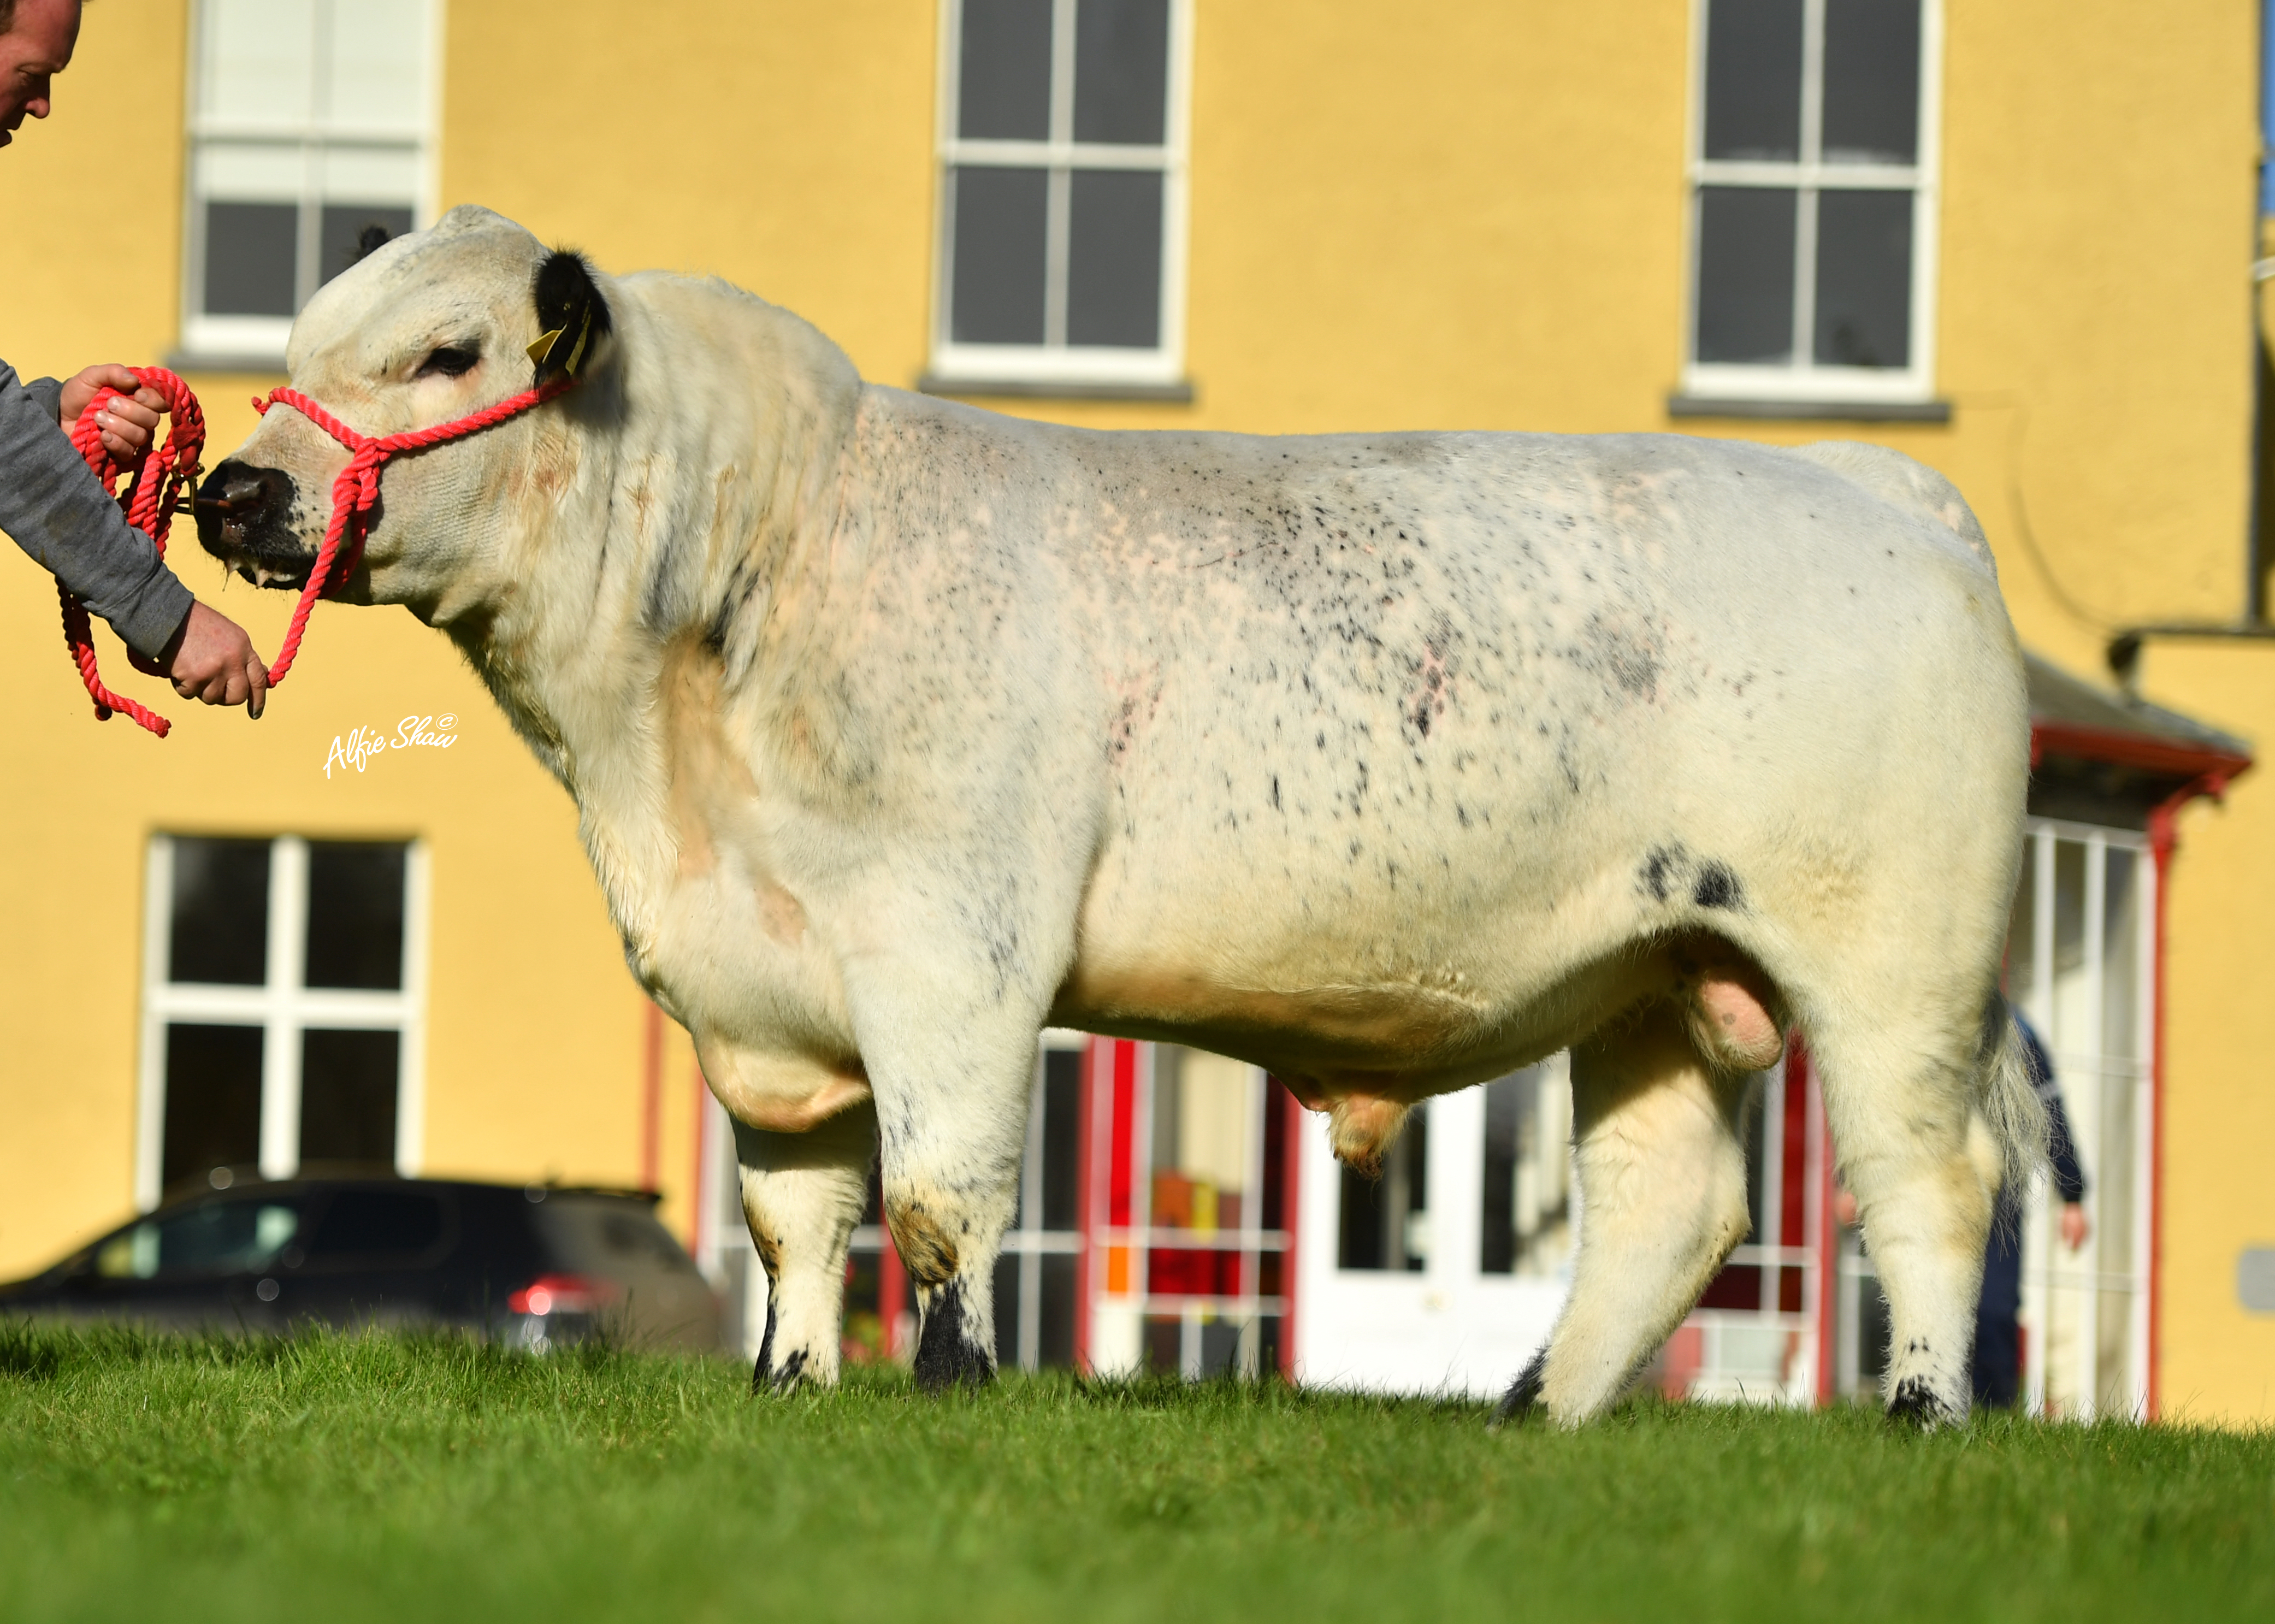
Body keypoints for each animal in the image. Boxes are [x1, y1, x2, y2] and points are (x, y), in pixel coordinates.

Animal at [196, 209, 2047, 1419]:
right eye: (289, 347)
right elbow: (797, 1214)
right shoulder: (755, 989)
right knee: (1667, 1202)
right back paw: (1533, 1415)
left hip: (1886, 958)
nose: (235, 488)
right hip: (1649, 970)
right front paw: (793, 1388)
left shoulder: (949, 956)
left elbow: (937, 1197)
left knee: (1925, 1178)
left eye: (446, 353)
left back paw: (1915, 1408)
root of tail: (1870, 481)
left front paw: (946, 1389)